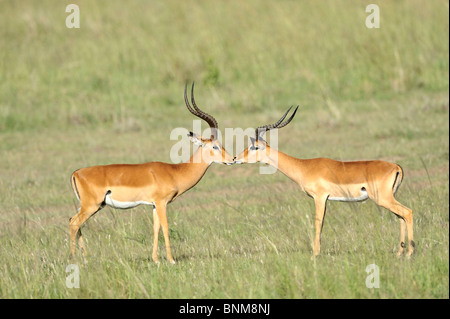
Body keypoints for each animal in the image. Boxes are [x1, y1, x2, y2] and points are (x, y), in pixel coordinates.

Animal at [69, 83, 236, 264]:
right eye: (215, 146)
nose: (232, 159)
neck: (175, 172)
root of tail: (76, 173)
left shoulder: (155, 205)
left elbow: (156, 228)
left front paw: (155, 259)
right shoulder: (162, 203)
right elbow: (166, 228)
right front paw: (171, 260)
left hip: (94, 206)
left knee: (75, 222)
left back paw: (85, 258)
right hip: (91, 205)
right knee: (74, 223)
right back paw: (74, 259)